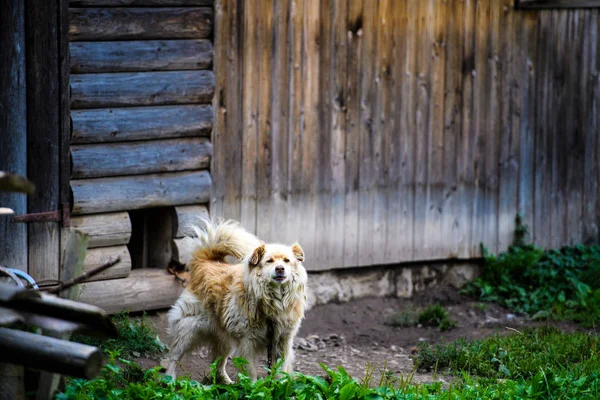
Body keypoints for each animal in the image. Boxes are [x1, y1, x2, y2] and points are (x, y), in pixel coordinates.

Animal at [162, 220, 308, 382]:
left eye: (287, 261)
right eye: (269, 261)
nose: (280, 268)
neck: (273, 300)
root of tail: (205, 262)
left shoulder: (283, 341)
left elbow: (281, 370)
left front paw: (281, 384)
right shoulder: (247, 342)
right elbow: (250, 372)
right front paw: (252, 386)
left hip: (224, 338)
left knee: (218, 363)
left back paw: (226, 383)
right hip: (189, 330)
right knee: (175, 356)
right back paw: (168, 380)